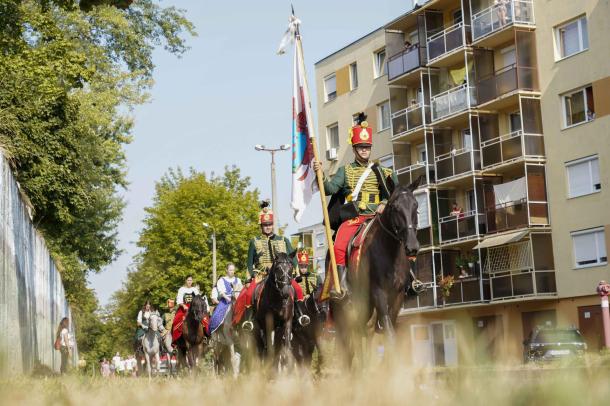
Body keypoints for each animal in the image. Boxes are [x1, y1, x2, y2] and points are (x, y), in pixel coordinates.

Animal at [330, 178, 420, 368]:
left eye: (415, 205)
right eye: (394, 206)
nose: (412, 246)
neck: (389, 250)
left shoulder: (397, 296)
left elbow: (388, 330)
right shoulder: (378, 293)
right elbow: (388, 331)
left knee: (364, 334)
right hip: (345, 309)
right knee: (348, 342)